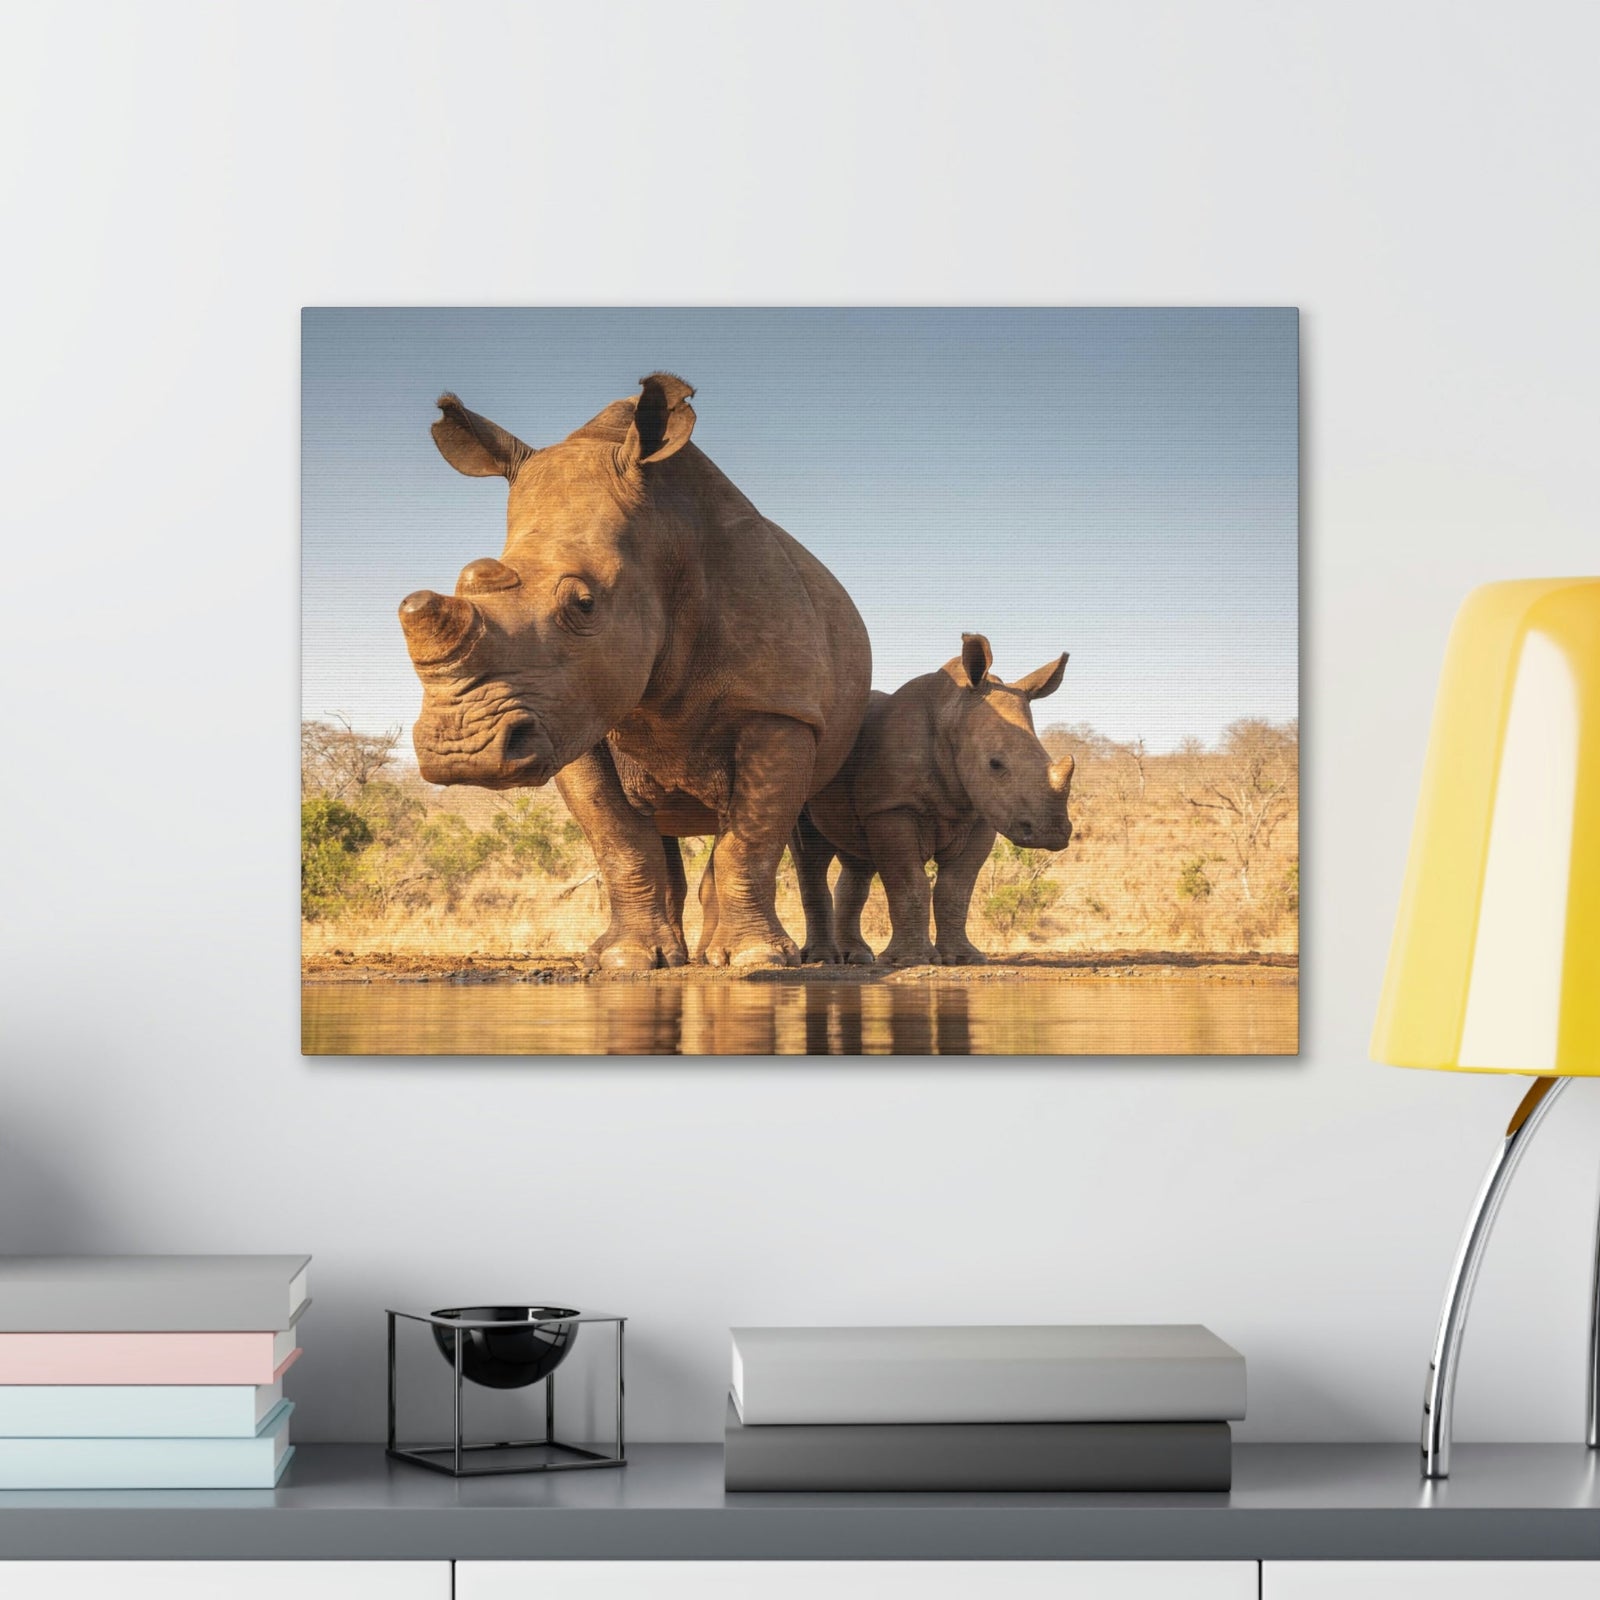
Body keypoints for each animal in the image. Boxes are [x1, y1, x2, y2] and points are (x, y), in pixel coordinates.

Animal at [399, 374, 872, 970]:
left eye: (583, 604)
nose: (461, 751)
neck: (664, 537)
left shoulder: (780, 708)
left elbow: (751, 839)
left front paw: (754, 960)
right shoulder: (569, 714)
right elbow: (618, 839)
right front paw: (625, 961)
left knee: (798, 837)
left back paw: (786, 959)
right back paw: (685, 957)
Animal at [795, 632, 1075, 967]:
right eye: (995, 764)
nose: (1053, 833)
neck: (951, 713)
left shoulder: (980, 814)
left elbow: (956, 889)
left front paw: (964, 958)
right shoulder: (892, 808)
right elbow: (909, 882)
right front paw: (910, 960)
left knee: (856, 859)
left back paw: (858, 957)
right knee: (810, 853)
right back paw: (823, 959)